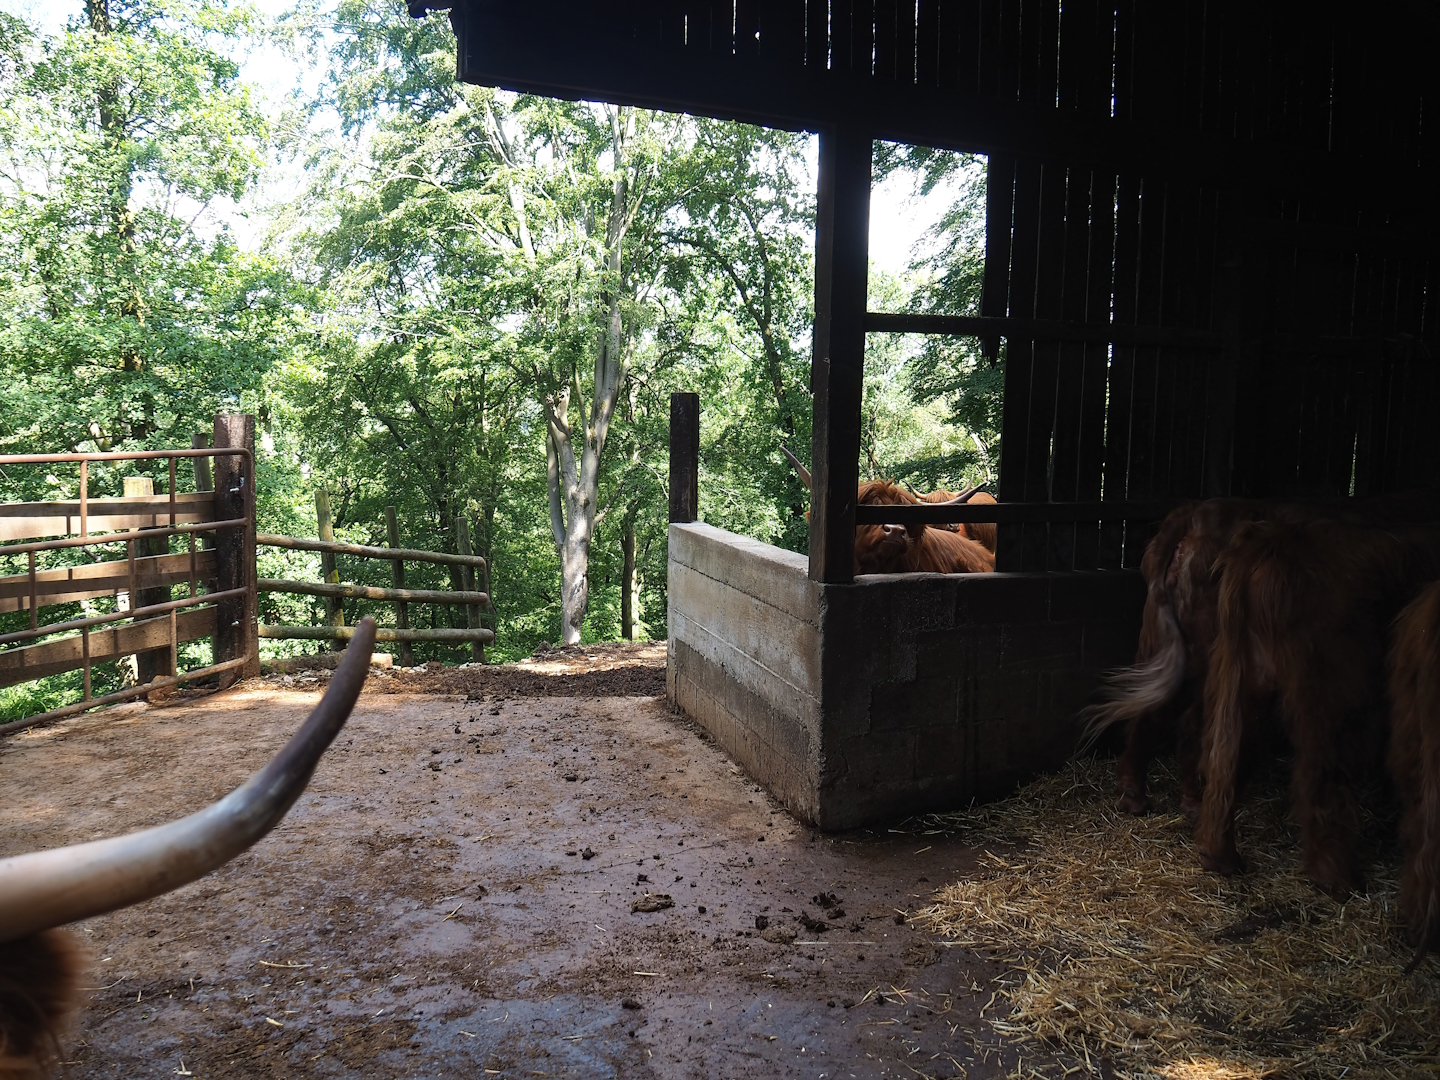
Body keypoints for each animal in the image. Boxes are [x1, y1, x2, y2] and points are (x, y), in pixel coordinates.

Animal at [1194, 521, 1440, 896]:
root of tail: (1267, 544)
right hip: (1334, 688)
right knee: (1322, 772)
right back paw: (1336, 878)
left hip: (1238, 674)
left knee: (1224, 757)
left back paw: (1219, 857)